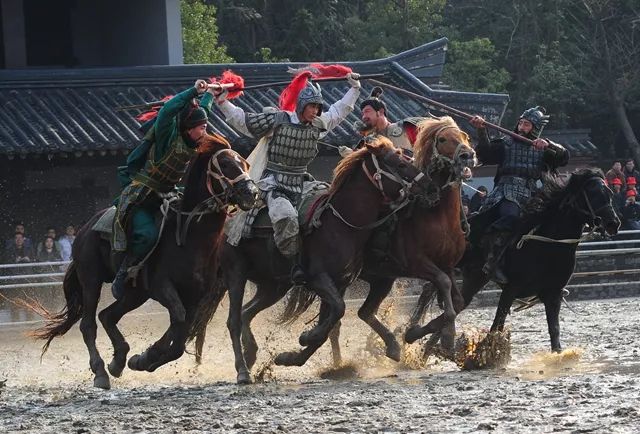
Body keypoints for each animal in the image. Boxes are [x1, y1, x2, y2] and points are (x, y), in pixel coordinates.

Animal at [33, 135, 258, 390]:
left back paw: (118, 360)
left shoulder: (196, 296)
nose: (251, 193)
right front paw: (148, 356)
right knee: (88, 324)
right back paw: (100, 372)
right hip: (91, 279)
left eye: (245, 164)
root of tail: (85, 229)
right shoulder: (161, 287)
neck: (190, 237)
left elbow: (180, 336)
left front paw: (143, 359)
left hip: (135, 293)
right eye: (227, 165)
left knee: (108, 316)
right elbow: (178, 319)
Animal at [410, 167, 620, 352]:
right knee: (430, 291)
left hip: (475, 277)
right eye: (592, 193)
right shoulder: (510, 290)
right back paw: (412, 332)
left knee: (456, 301)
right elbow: (497, 326)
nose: (613, 223)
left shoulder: (553, 295)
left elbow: (555, 333)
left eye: (609, 193)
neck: (548, 245)